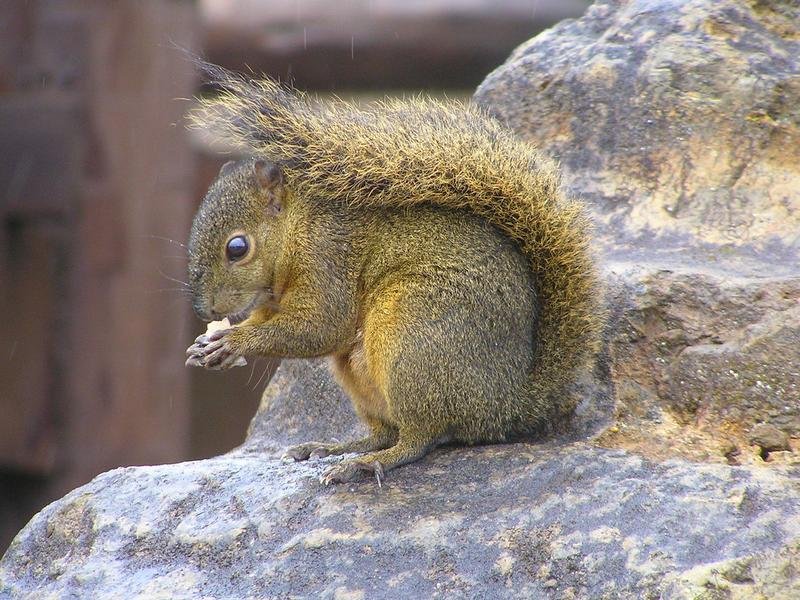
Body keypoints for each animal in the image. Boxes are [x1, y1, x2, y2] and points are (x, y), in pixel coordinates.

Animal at [184, 64, 603, 485]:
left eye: (237, 248)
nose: (205, 311)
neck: (297, 227)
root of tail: (509, 404)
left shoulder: (328, 258)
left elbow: (321, 327)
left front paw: (234, 341)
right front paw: (208, 344)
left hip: (413, 341)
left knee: (420, 437)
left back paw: (369, 463)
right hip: (363, 371)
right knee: (384, 431)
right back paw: (336, 448)